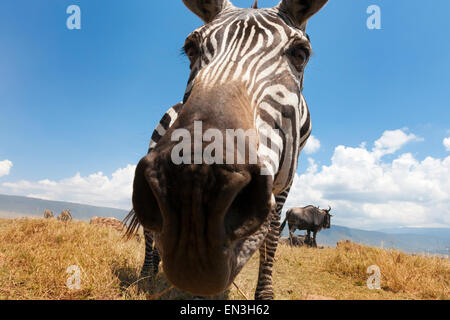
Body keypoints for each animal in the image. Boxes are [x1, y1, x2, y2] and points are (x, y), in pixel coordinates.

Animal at [125, 0, 328, 300]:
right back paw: (147, 273)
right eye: (191, 49)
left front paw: (264, 293)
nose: (193, 186)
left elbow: (271, 237)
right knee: (150, 231)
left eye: (300, 54)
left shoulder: (286, 179)